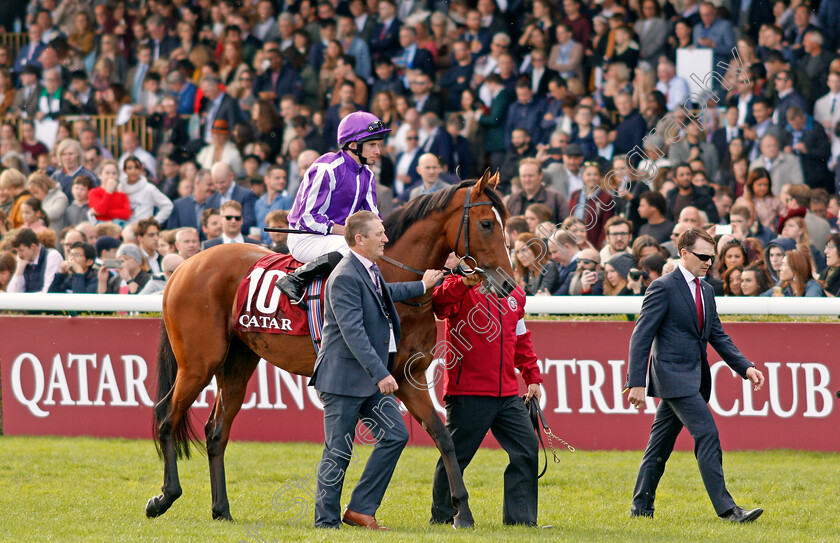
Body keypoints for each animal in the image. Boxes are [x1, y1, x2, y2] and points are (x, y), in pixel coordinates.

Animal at [145, 173, 516, 528]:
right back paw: (163, 497)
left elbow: (443, 436)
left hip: (237, 362)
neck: (393, 278)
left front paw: (462, 512)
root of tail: (184, 267)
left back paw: (221, 509)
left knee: (216, 431)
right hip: (198, 362)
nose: (509, 282)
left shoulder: (408, 377)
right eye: (487, 223)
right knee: (165, 416)